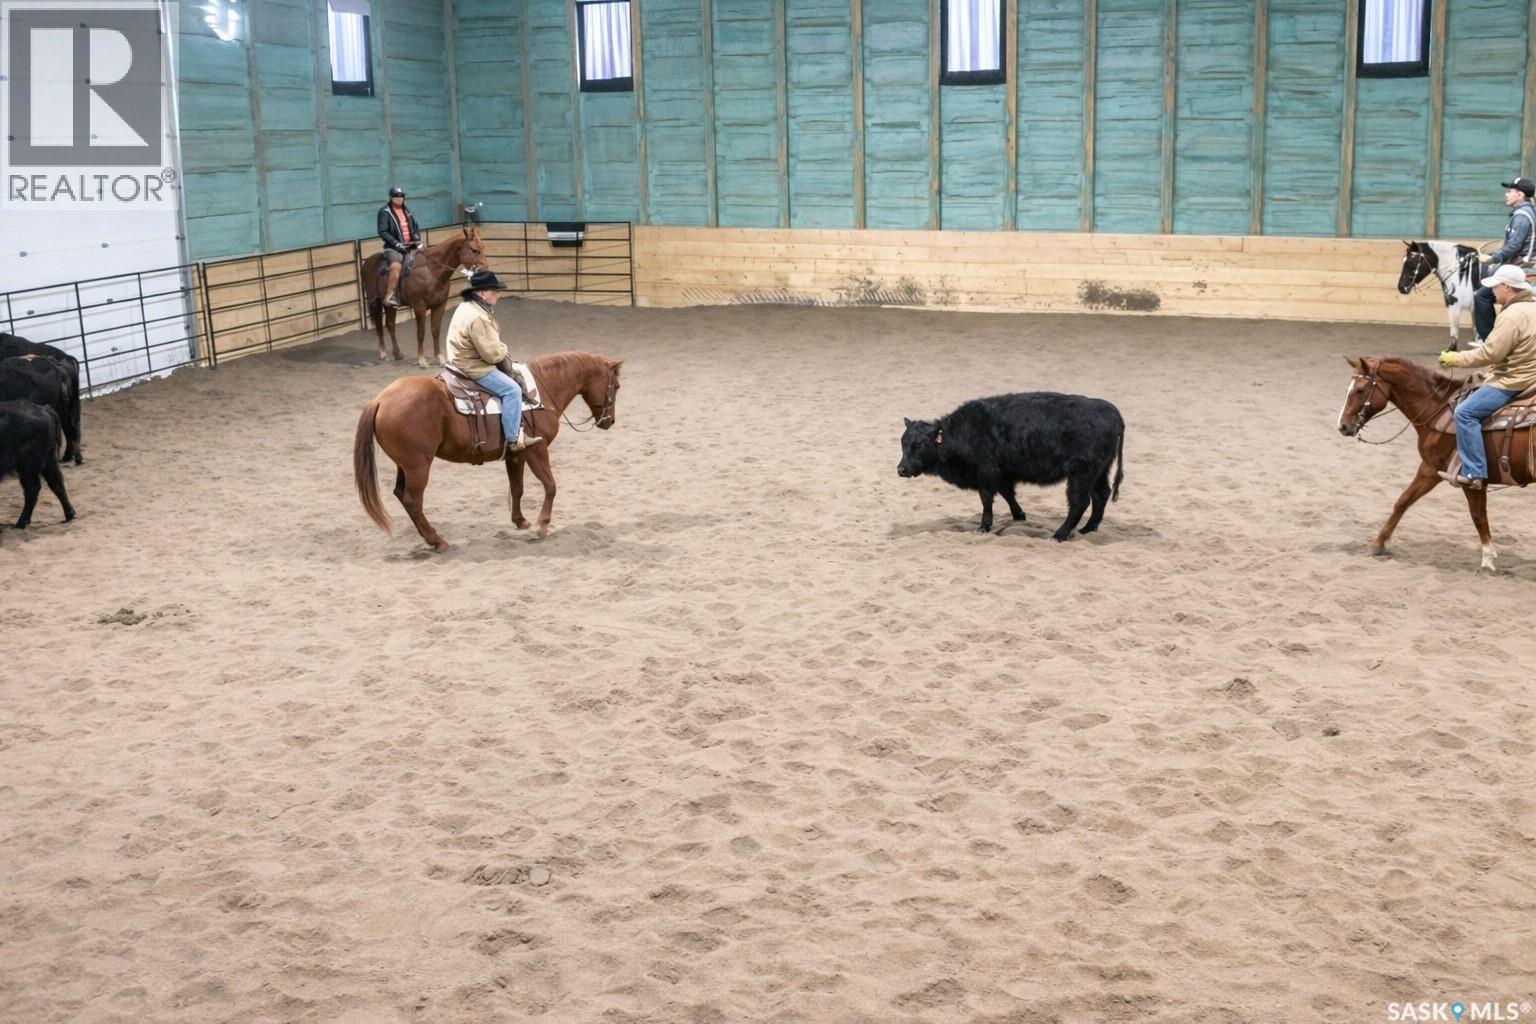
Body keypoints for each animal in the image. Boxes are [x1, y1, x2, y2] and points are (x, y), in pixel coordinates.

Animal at [0, 333, 82, 464]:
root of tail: (58, 366)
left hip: (60, 407)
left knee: (68, 427)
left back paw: (67, 456)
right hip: (72, 404)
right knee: (74, 425)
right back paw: (75, 457)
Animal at [0, 399, 76, 533]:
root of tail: (43, 408)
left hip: (28, 466)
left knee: (32, 489)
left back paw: (21, 523)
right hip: (47, 461)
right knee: (56, 484)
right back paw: (69, 514)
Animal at [898, 392, 1125, 541]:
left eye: (919, 444)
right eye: (903, 443)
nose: (901, 469)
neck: (964, 432)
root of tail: (1111, 411)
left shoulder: (986, 472)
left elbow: (987, 499)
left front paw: (984, 526)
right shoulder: (1002, 473)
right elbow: (1007, 493)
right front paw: (1019, 515)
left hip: (1081, 473)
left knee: (1080, 502)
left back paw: (1059, 535)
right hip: (1098, 471)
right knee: (1101, 495)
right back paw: (1088, 528)